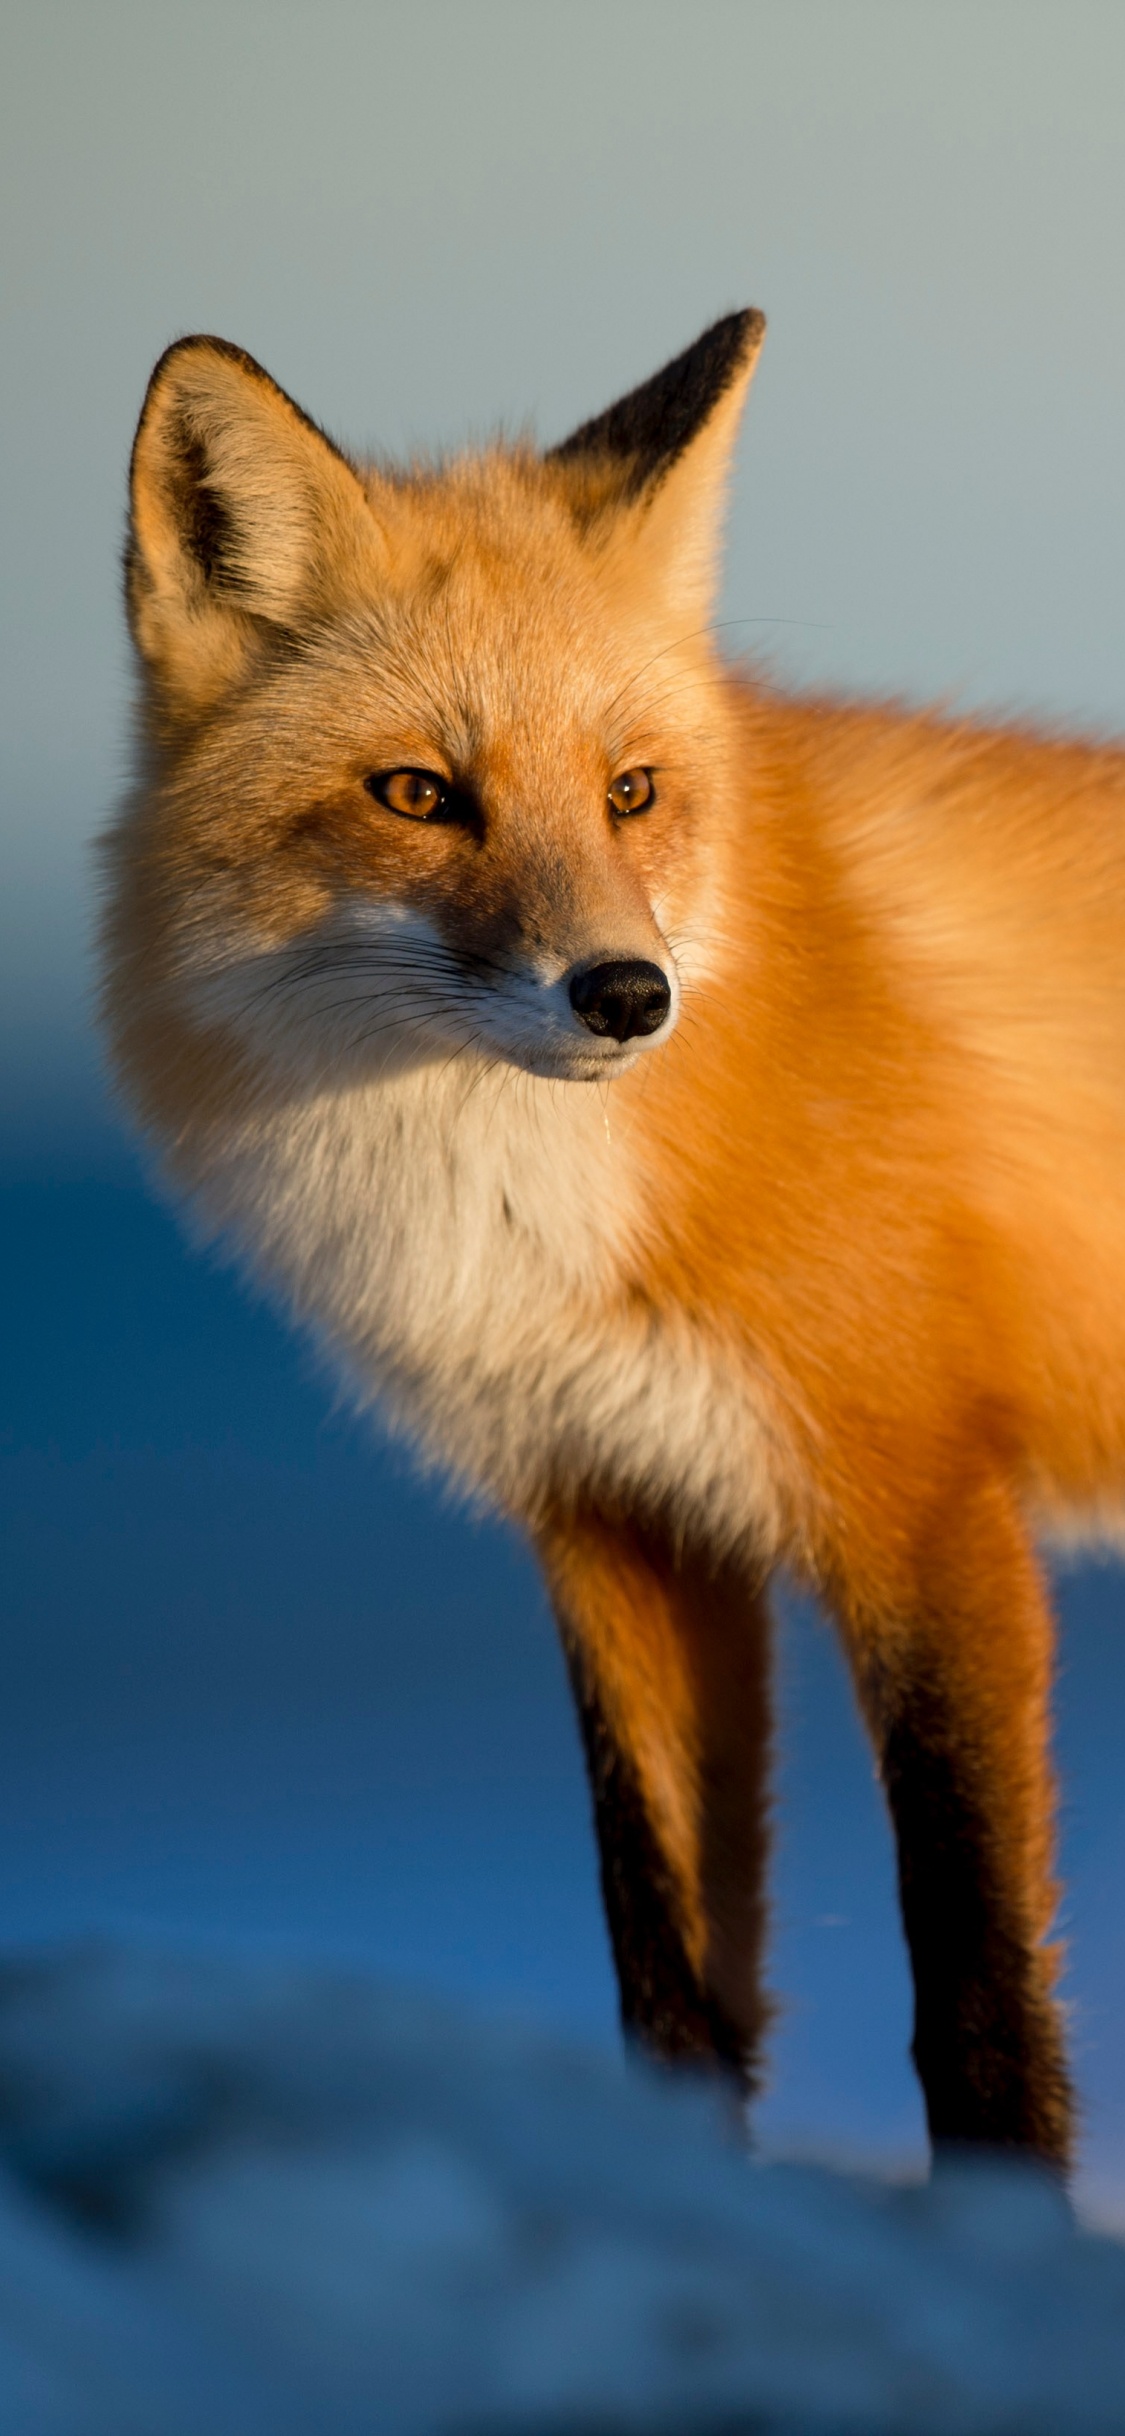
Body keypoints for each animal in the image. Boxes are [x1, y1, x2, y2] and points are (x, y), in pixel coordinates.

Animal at [99, 307, 1125, 2171]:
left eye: (633, 791)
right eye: (419, 793)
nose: (629, 995)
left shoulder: (925, 1500)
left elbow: (975, 1984)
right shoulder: (619, 1515)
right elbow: (668, 1965)